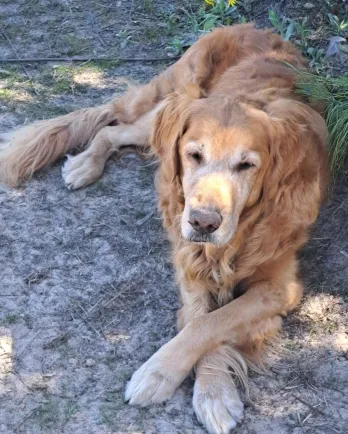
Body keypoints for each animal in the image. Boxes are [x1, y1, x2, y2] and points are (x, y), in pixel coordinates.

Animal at [0, 25, 328, 434]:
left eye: (247, 165)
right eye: (194, 155)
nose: (203, 222)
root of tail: (248, 25)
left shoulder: (279, 286)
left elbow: (214, 323)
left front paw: (197, 385)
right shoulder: (190, 260)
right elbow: (202, 319)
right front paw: (185, 381)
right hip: (164, 107)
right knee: (111, 125)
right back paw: (85, 164)